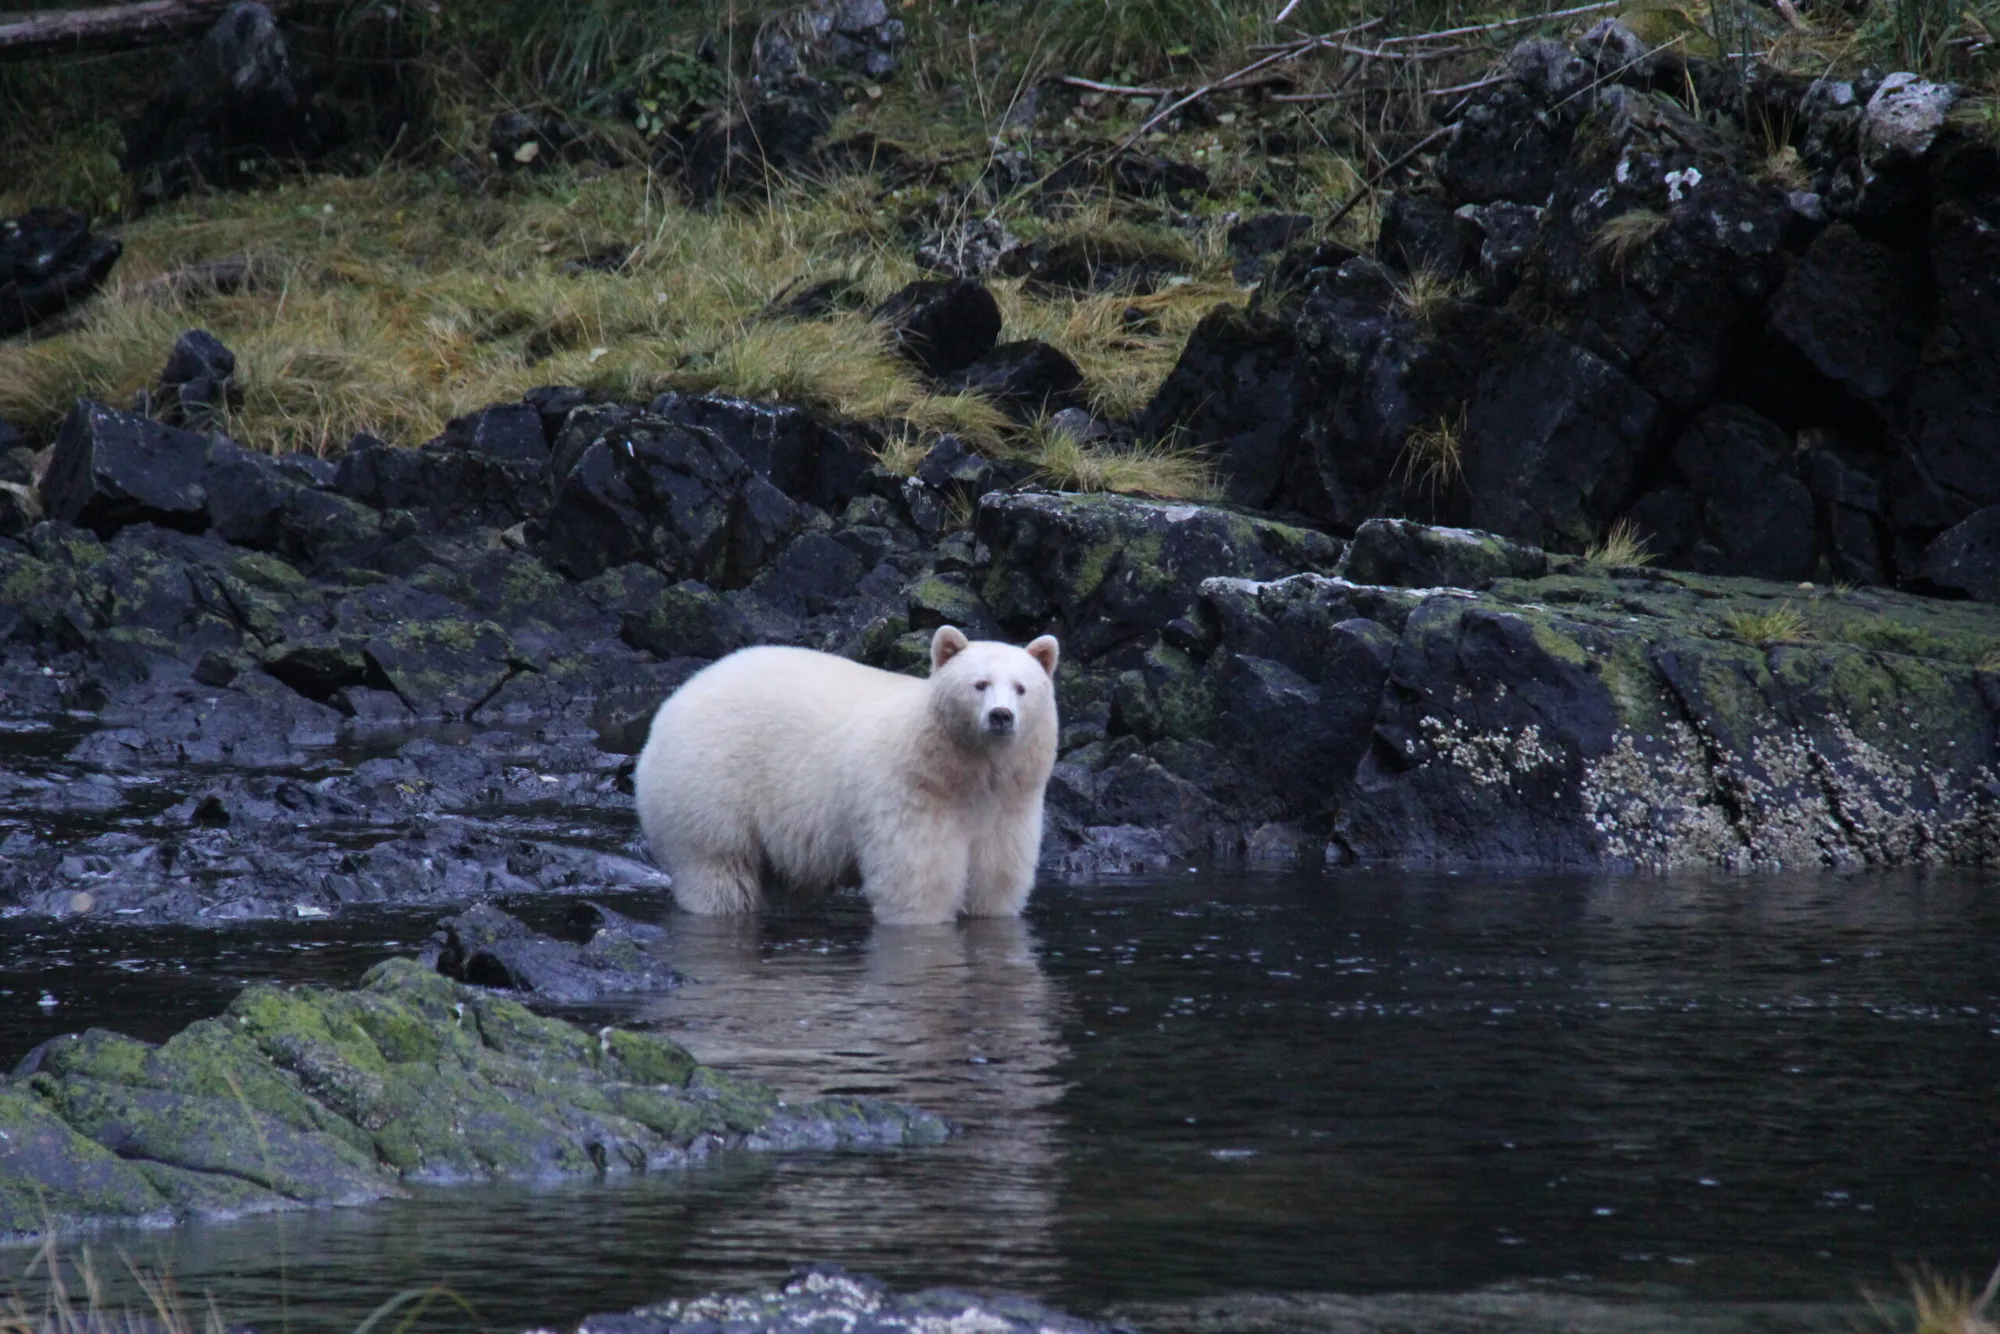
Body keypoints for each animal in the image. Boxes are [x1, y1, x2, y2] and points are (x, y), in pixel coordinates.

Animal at [633, 625, 1060, 925]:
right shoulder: (913, 792)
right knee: (718, 871)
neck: (965, 770)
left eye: (1021, 688)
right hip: (711, 783)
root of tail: (675, 700)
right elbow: (918, 879)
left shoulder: (1010, 802)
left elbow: (997, 877)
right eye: (979, 684)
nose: (1001, 716)